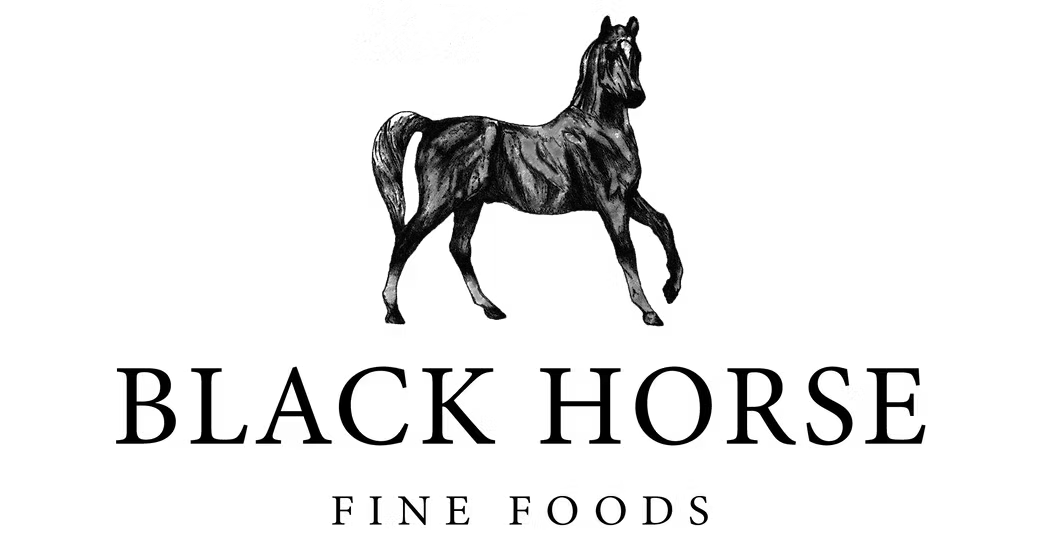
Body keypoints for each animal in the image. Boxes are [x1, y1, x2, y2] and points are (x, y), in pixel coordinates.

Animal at [369, 12, 686, 329]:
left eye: (638, 54)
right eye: (610, 54)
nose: (636, 96)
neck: (601, 131)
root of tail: (432, 124)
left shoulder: (630, 197)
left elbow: (663, 224)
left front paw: (670, 290)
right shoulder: (612, 203)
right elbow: (627, 252)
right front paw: (650, 312)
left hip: (470, 204)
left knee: (458, 249)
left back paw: (491, 310)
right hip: (439, 201)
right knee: (405, 240)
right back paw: (393, 313)